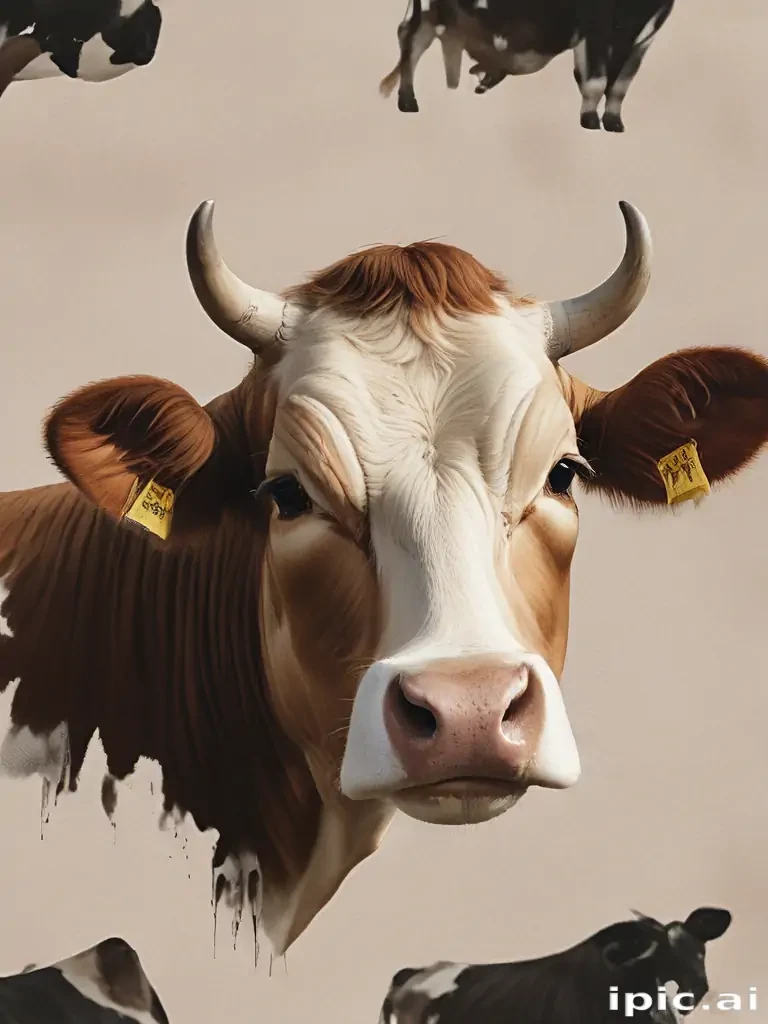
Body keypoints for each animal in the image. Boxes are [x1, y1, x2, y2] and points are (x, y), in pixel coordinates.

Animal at [380, 0, 676, 133]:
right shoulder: (595, 26)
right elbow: (596, 80)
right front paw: (590, 120)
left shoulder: (647, 35)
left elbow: (621, 83)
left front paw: (614, 122)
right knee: (412, 40)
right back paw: (407, 101)